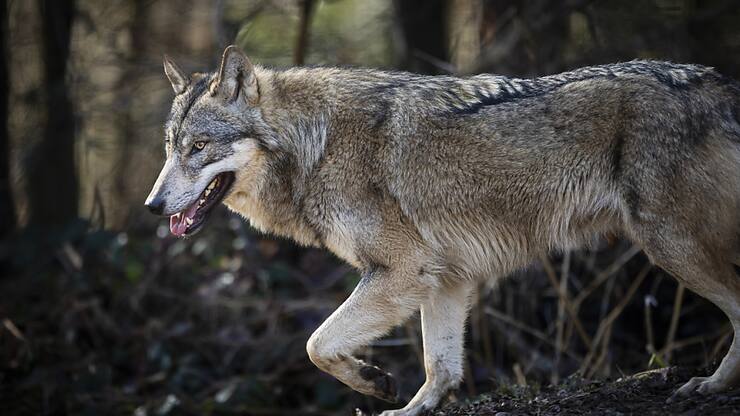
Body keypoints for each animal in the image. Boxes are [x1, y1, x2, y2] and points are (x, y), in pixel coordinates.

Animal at [145, 45, 740, 415]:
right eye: (171, 147)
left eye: (199, 147)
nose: (152, 205)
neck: (315, 144)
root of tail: (717, 83)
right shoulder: (445, 278)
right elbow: (441, 366)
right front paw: (410, 406)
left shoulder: (402, 272)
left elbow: (316, 343)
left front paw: (374, 381)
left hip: (671, 246)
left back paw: (712, 384)